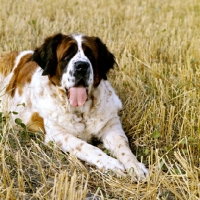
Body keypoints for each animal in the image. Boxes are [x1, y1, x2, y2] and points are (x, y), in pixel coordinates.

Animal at [0, 33, 148, 180]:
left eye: (90, 56)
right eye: (66, 56)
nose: (82, 66)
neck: (81, 111)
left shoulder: (111, 125)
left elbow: (123, 145)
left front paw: (135, 167)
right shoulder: (58, 135)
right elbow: (85, 146)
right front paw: (111, 164)